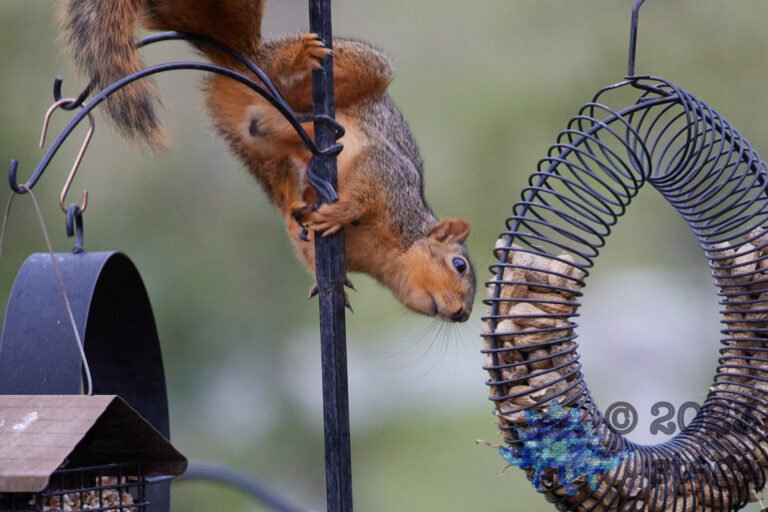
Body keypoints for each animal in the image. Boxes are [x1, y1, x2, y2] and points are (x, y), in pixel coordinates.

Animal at [57, 0, 476, 322]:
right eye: (460, 265)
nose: (462, 315)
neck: (390, 252)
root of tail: (241, 63)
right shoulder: (390, 174)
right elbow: (367, 181)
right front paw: (343, 213)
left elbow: (309, 251)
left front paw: (333, 285)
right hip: (353, 70)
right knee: (307, 72)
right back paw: (300, 57)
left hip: (251, 146)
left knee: (276, 168)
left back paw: (292, 202)